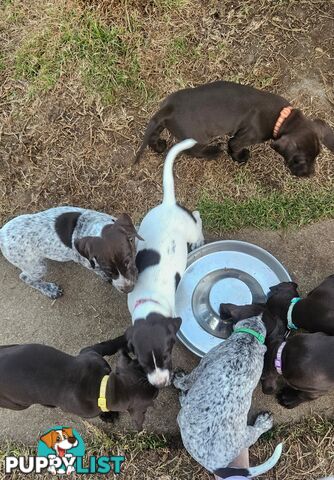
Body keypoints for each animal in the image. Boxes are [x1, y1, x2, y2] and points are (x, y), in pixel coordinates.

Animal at [0, 205, 141, 298]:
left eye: (128, 261)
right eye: (108, 270)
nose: (128, 289)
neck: (91, 227)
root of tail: (1, 233)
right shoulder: (86, 262)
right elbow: (96, 269)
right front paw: (104, 275)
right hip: (36, 266)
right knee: (25, 277)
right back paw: (49, 290)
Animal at [134, 79, 334, 177]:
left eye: (316, 156)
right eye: (299, 160)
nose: (310, 175)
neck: (282, 118)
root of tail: (169, 108)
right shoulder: (241, 139)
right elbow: (234, 148)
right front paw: (240, 158)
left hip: (161, 122)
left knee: (154, 136)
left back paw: (159, 146)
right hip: (198, 138)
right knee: (194, 151)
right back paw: (213, 152)